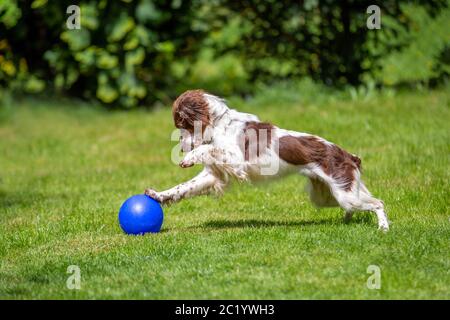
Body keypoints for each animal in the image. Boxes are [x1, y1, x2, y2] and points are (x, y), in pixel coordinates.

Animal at [145, 89, 390, 230]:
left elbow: (208, 148)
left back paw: (383, 228)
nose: (182, 147)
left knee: (378, 203)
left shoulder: (236, 160)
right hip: (325, 196)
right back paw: (348, 221)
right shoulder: (214, 175)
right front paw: (157, 195)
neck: (220, 123)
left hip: (344, 194)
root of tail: (349, 156)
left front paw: (188, 158)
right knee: (358, 205)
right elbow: (183, 187)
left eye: (181, 124)